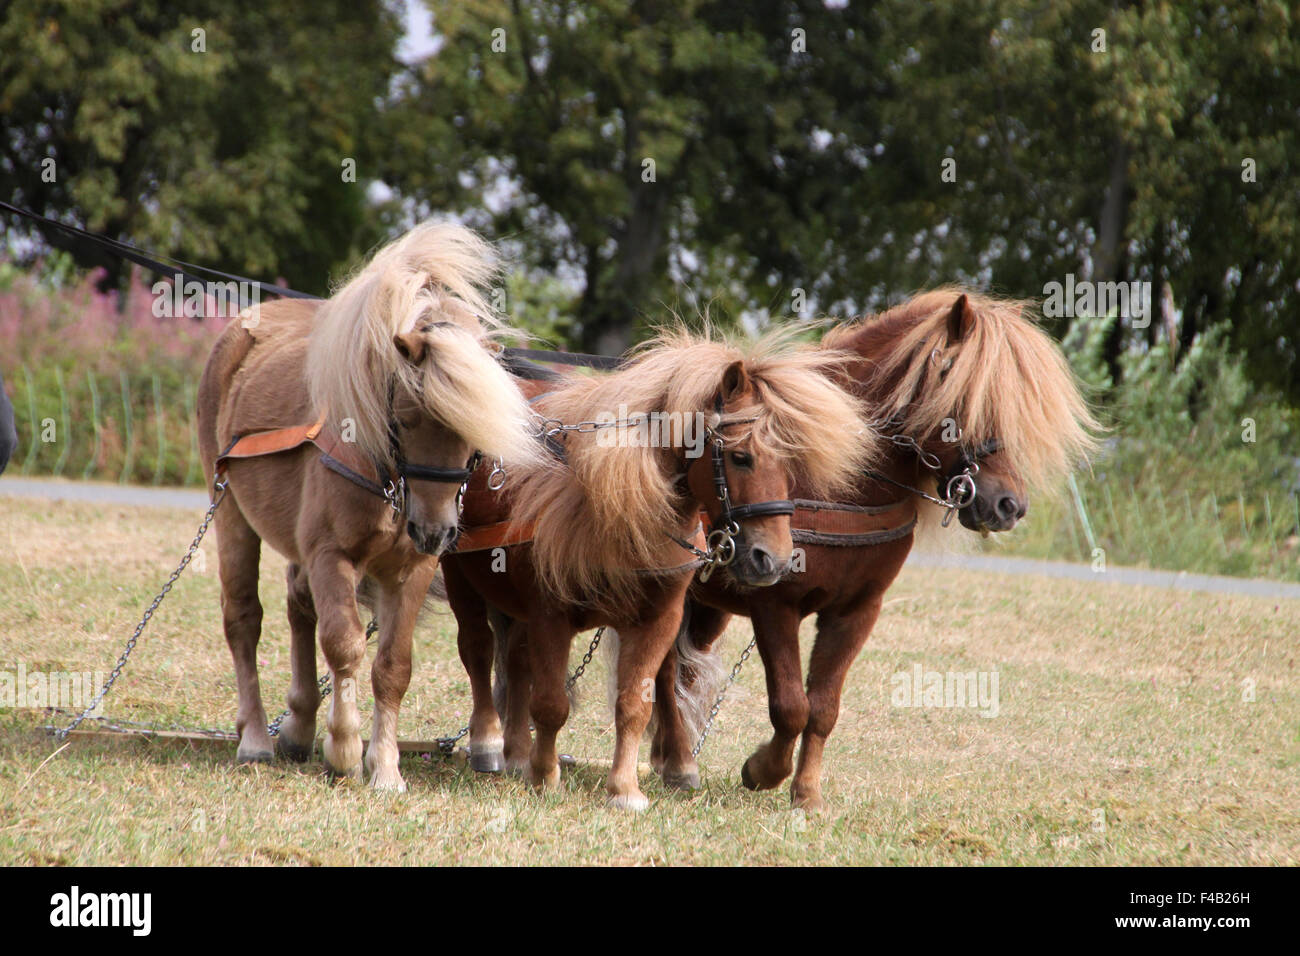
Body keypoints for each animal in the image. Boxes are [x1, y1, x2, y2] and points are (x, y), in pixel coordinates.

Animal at [193, 221, 538, 790]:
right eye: (408, 414)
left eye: (472, 429)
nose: (436, 530)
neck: (388, 475)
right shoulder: (332, 555)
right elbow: (345, 645)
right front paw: (345, 749)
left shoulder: (412, 568)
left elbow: (392, 665)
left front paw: (386, 768)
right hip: (231, 514)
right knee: (244, 618)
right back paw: (257, 738)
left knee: (298, 605)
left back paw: (298, 727)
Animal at [436, 327, 873, 806]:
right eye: (741, 457)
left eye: (791, 463)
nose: (773, 559)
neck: (616, 505)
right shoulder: (550, 615)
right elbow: (551, 703)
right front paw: (546, 776)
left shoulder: (658, 619)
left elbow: (635, 705)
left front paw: (624, 789)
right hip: (460, 577)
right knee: (477, 650)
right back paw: (489, 744)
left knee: (513, 661)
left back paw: (516, 752)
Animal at [655, 287, 1102, 811]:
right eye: (967, 397)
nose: (1009, 505)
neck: (841, 482)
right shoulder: (775, 605)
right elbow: (790, 705)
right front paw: (763, 771)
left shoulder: (857, 611)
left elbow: (822, 708)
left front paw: (807, 794)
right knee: (664, 668)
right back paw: (679, 763)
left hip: (709, 607)